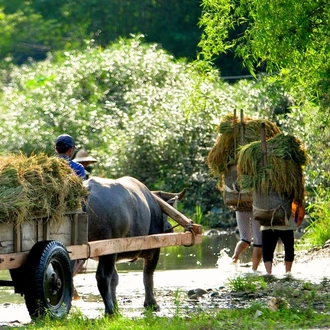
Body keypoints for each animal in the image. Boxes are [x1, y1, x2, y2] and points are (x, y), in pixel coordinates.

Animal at [84, 177, 186, 316]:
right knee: (103, 277)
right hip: (108, 251)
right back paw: (110, 311)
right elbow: (148, 274)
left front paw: (116, 304)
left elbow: (115, 280)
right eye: (165, 214)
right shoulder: (154, 250)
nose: (169, 228)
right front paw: (151, 304)